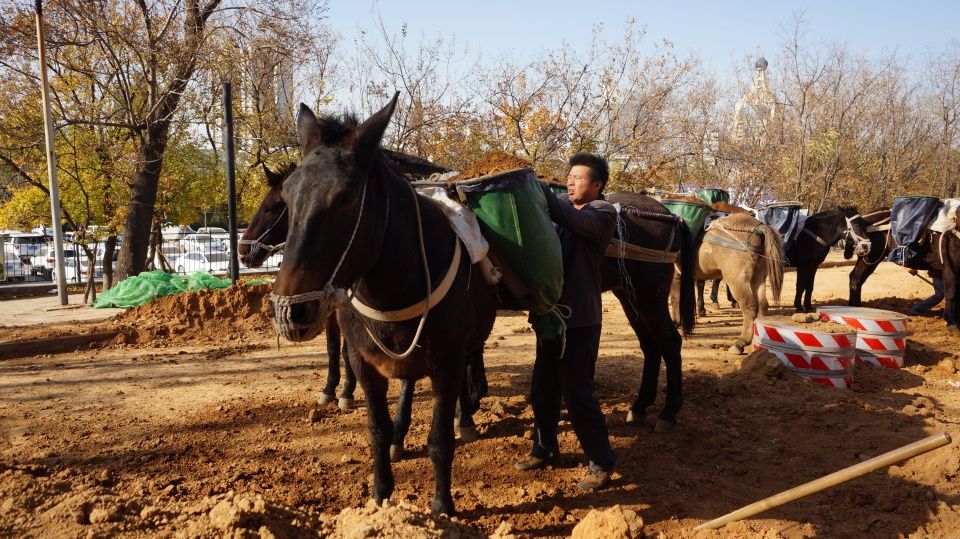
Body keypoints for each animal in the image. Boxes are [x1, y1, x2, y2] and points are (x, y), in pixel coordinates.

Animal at [672, 213, 784, 356]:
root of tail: (759, 227)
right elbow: (676, 298)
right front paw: (677, 322)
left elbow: (674, 298)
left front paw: (676, 322)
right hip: (757, 277)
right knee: (763, 304)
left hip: (736, 280)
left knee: (750, 306)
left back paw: (741, 343)